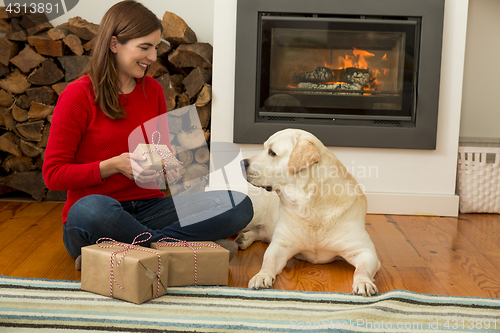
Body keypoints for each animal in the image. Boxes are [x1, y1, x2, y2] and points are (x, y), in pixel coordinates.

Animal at [236, 127, 380, 296]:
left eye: (272, 152)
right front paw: (261, 276)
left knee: (260, 233)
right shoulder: (280, 246)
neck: (311, 208)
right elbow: (268, 261)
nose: (241, 163)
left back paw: (245, 238)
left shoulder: (365, 251)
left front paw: (364, 282)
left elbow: (362, 270)